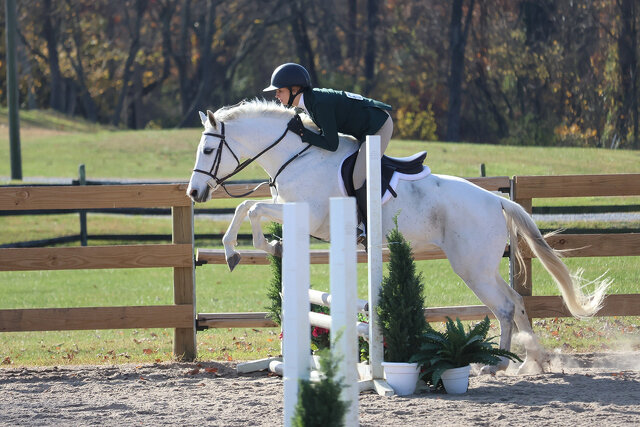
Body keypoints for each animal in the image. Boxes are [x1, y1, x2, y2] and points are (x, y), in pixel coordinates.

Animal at [186, 99, 610, 374]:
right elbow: (248, 208)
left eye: (207, 149)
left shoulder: (311, 216)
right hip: (482, 266)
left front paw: (244, 250)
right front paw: (264, 247)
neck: (298, 155)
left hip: (470, 266)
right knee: (517, 303)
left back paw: (497, 366)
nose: (194, 193)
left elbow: (250, 209)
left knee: (505, 307)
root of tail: (496, 200)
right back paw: (528, 364)